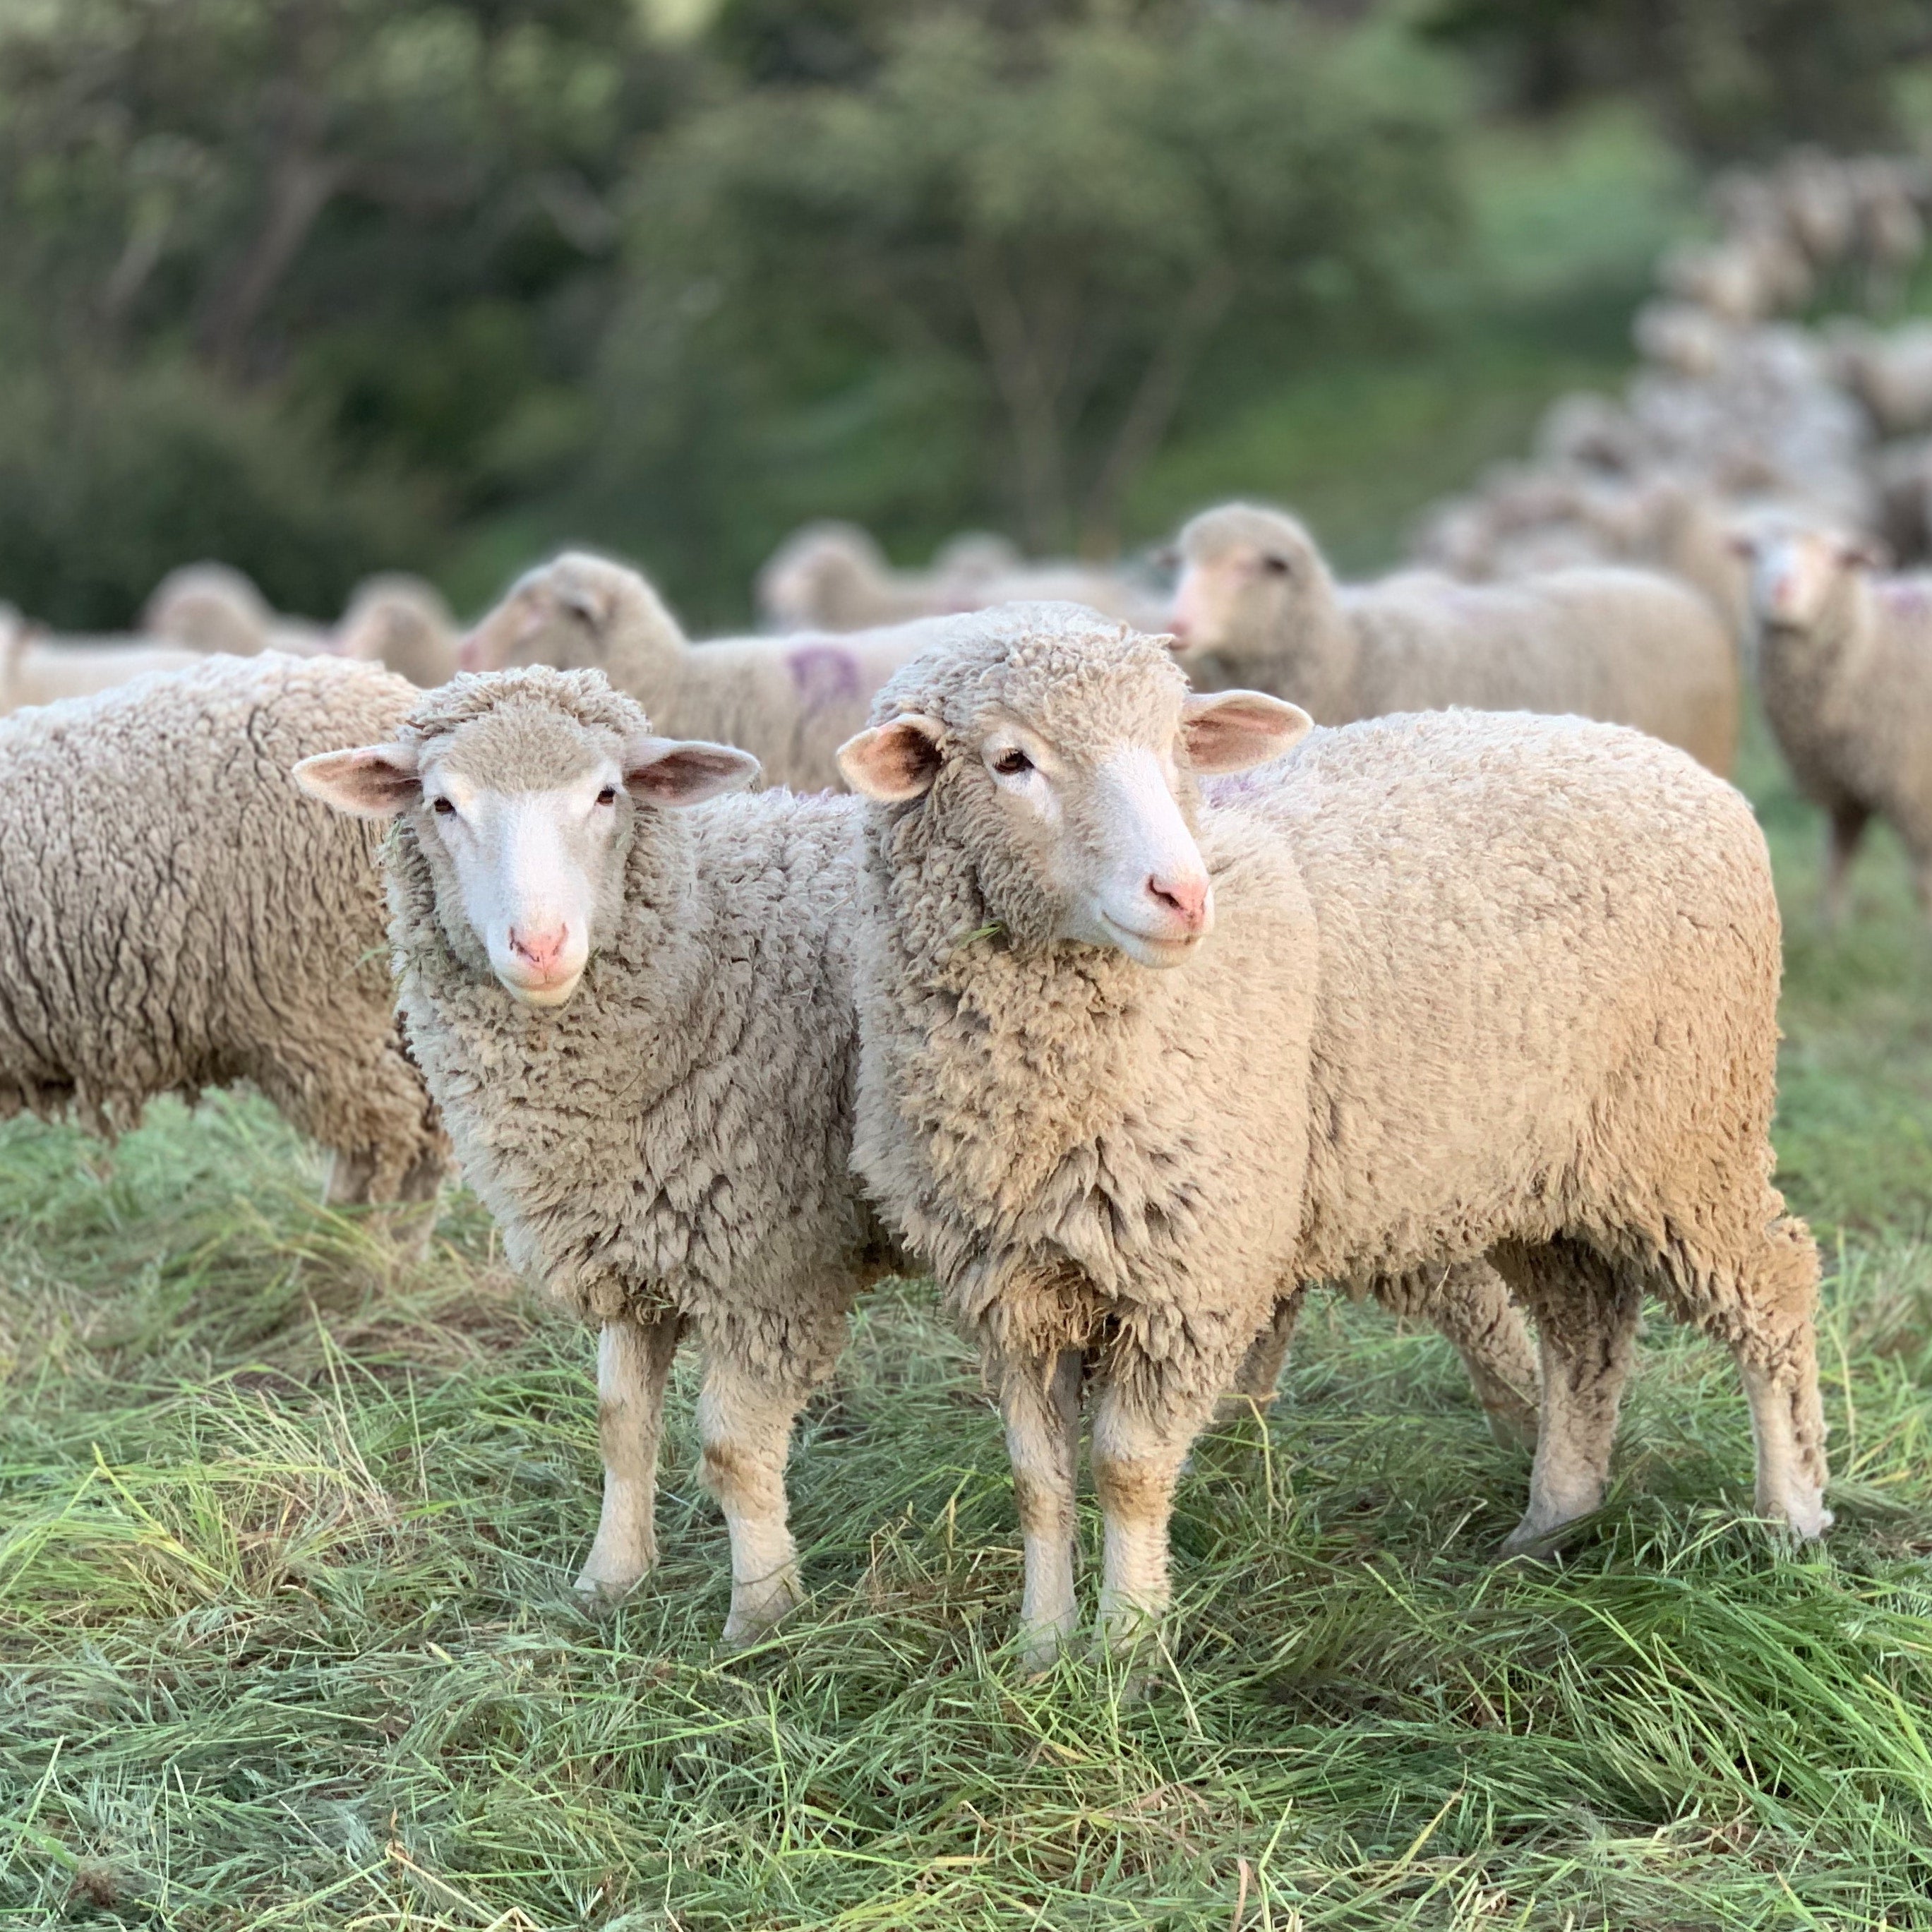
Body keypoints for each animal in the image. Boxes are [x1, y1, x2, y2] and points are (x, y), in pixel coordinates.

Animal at [294, 665, 896, 1645]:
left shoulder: (770, 1268)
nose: (540, 946)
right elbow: (619, 1425)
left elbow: (732, 1450)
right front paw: (610, 1581)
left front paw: (763, 1614)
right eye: (442, 803)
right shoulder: (629, 1241)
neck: (709, 951)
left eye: (609, 794)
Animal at [838, 605, 1826, 1664]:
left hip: (1686, 1133)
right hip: (1540, 1167)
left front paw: (1128, 1653)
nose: (1182, 895)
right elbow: (1038, 1479)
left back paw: (1791, 1518)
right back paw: (1551, 1521)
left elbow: (1127, 1472)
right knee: (1584, 1328)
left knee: (1771, 1286)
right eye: (1011, 761)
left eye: (1176, 746)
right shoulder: (1009, 1285)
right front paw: (1039, 1651)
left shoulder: (1192, 1273)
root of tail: (1683, 769)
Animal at [1732, 518, 1932, 922]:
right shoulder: (1842, 787)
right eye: (1758, 552)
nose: (1781, 589)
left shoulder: (1916, 788)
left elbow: (1923, 883)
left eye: (1831, 556)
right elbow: (1837, 858)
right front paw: (1832, 927)